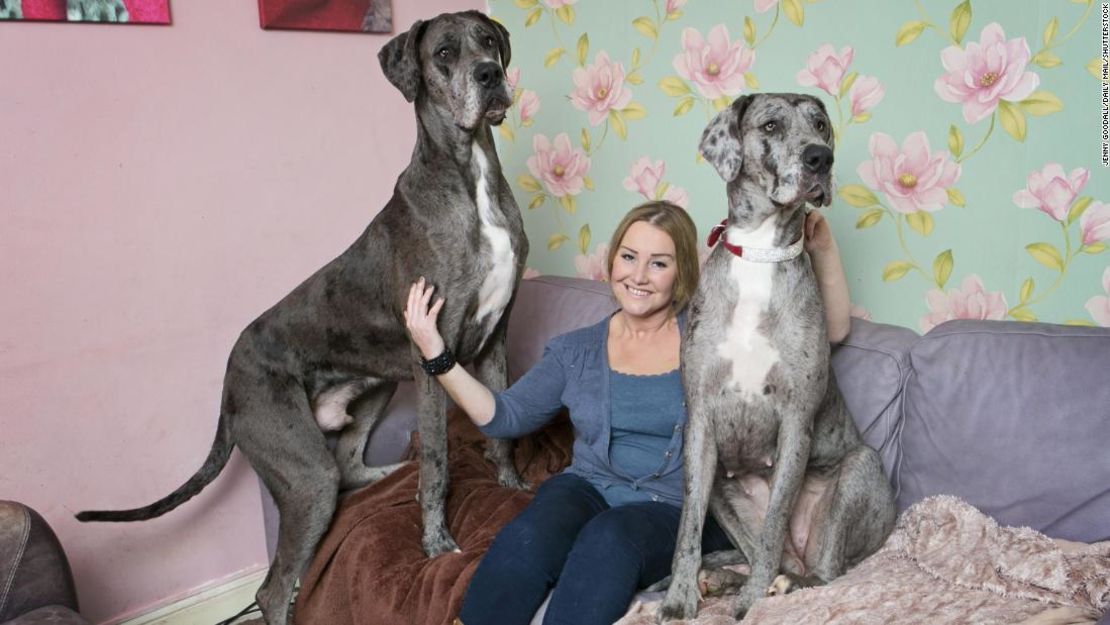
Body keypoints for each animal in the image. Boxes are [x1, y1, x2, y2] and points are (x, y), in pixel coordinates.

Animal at [76, 11, 526, 625]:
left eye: (488, 42)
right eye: (444, 53)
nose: (489, 75)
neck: (470, 173)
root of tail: (228, 380)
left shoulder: (495, 337)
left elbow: (502, 426)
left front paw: (512, 484)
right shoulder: (434, 359)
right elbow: (437, 460)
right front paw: (436, 544)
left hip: (374, 393)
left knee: (351, 468)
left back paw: (392, 475)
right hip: (306, 473)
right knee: (274, 585)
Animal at [657, 94, 892, 621]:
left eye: (821, 125)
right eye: (769, 125)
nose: (821, 159)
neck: (761, 255)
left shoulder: (795, 422)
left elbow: (774, 525)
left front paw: (751, 602)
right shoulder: (700, 421)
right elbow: (686, 530)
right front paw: (680, 597)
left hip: (859, 468)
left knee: (821, 572)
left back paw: (779, 586)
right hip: (724, 488)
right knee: (754, 551)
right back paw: (721, 579)